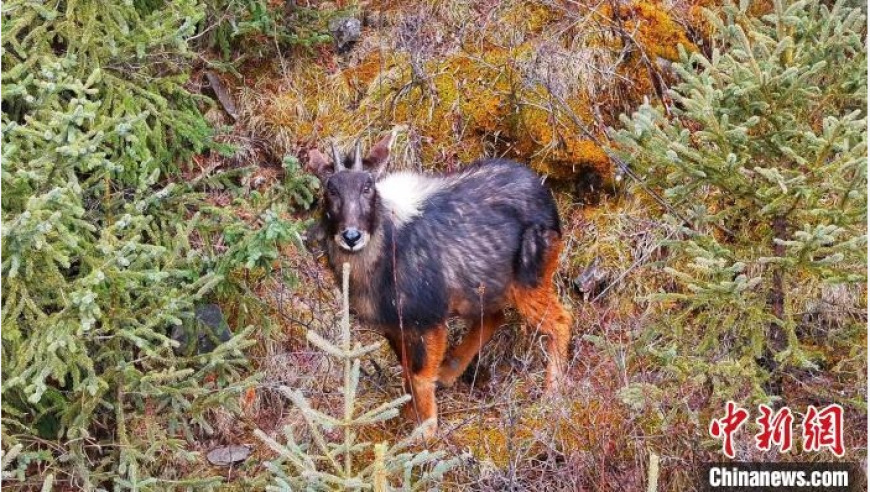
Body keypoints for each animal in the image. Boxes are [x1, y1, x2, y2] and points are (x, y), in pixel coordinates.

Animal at [306, 133, 572, 436]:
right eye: (330, 190)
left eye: (368, 187)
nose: (351, 236)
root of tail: (549, 201)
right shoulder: (393, 324)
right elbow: (407, 370)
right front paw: (409, 413)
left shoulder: (429, 314)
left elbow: (419, 374)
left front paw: (427, 431)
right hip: (481, 288)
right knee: (495, 317)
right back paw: (448, 373)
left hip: (531, 277)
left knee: (560, 319)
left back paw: (552, 395)